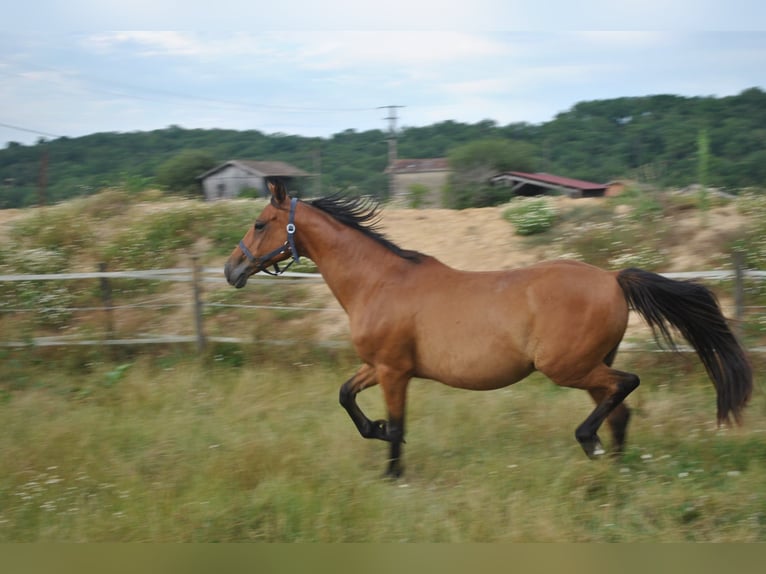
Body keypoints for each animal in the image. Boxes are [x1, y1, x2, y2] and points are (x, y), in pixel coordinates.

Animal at [225, 181, 752, 482]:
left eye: (260, 223)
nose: (231, 270)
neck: (379, 282)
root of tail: (612, 277)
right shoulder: (379, 365)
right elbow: (346, 397)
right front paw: (373, 431)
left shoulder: (394, 371)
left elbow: (397, 426)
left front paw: (393, 475)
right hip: (588, 367)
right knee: (620, 410)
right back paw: (612, 471)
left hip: (568, 367)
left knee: (627, 387)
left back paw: (588, 442)